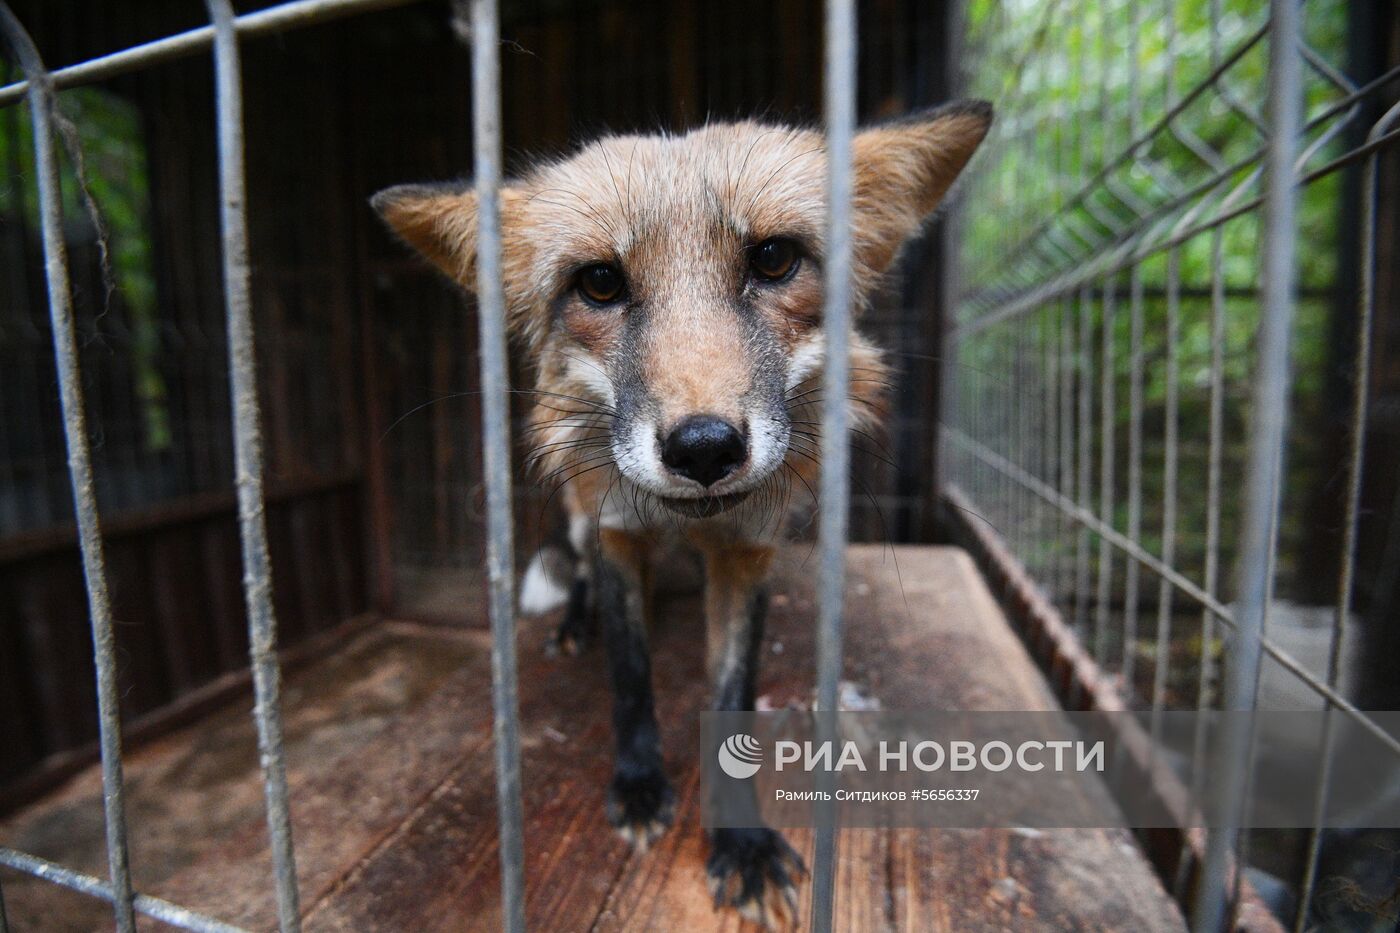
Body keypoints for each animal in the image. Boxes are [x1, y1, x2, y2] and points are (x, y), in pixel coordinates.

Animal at [372, 101, 985, 924]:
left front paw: (740, 842)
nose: (703, 448)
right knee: (582, 581)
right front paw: (637, 785)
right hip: (579, 517)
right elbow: (631, 674)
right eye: (600, 282)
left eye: (774, 260)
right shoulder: (615, 532)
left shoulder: (748, 554)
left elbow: (732, 701)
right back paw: (575, 624)